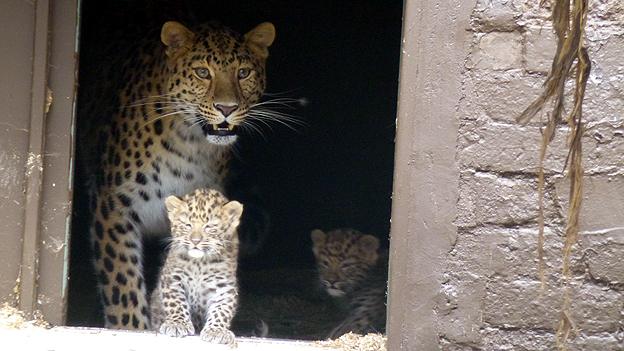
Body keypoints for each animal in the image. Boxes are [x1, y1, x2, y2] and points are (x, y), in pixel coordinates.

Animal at [77, 21, 276, 330]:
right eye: (203, 72)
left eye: (243, 73)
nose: (227, 108)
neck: (190, 144)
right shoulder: (114, 207)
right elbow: (123, 285)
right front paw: (132, 329)